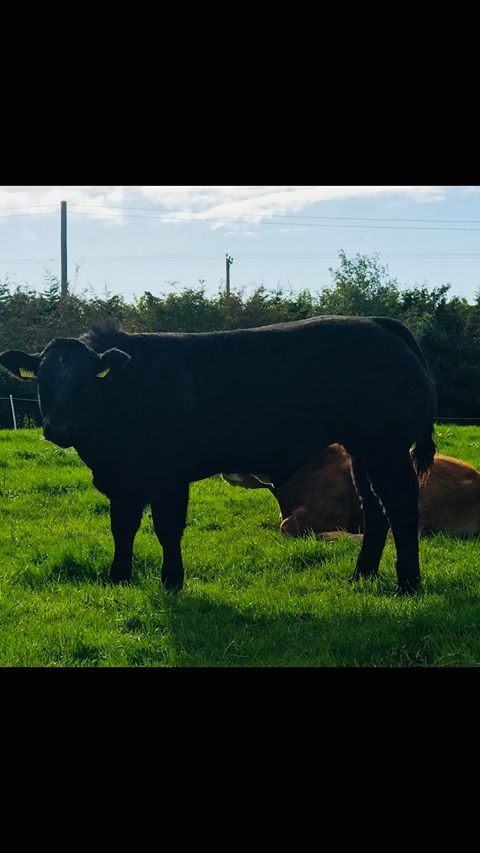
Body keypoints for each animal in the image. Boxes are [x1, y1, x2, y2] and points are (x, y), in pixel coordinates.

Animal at [0, 315, 436, 594]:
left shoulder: (168, 477)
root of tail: (378, 323)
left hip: (386, 446)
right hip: (362, 450)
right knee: (375, 508)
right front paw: (118, 578)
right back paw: (362, 576)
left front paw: (172, 581)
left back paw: (408, 584)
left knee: (401, 505)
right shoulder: (124, 481)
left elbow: (167, 529)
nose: (59, 427)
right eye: (41, 379)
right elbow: (122, 528)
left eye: (86, 381)